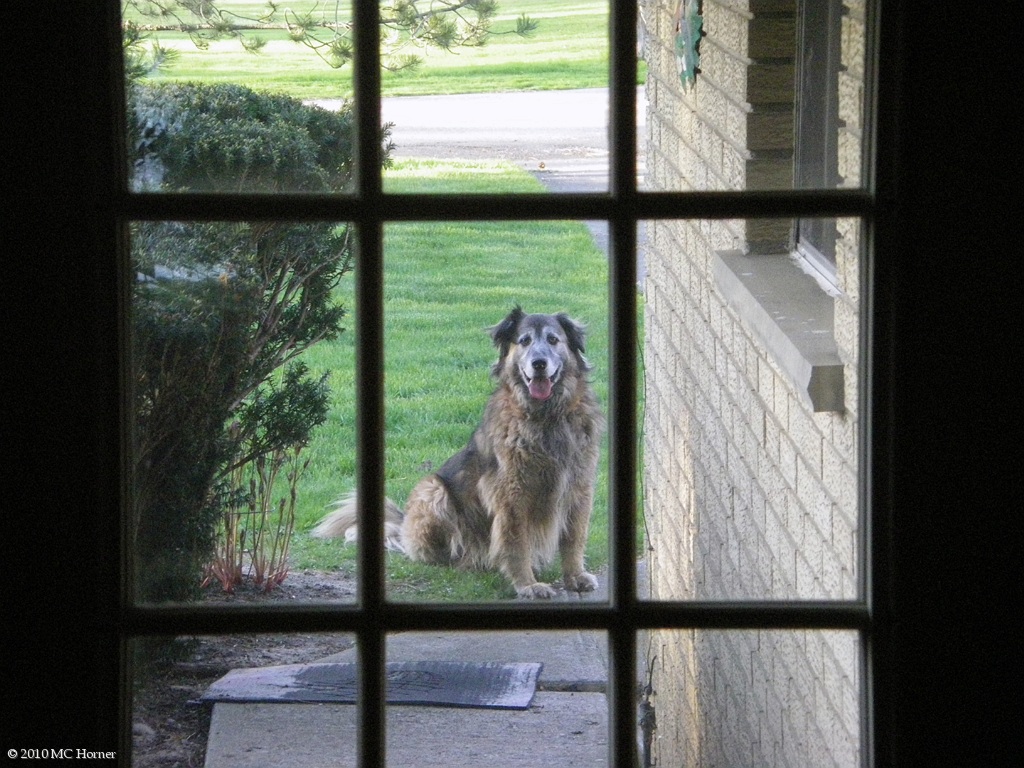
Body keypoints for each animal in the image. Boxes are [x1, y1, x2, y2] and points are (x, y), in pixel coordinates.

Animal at [309, 307, 598, 602]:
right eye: (525, 341)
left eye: (553, 340)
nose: (539, 363)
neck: (546, 417)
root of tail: (403, 527)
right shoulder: (511, 494)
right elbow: (517, 543)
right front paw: (527, 584)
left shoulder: (579, 487)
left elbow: (574, 537)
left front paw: (575, 576)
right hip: (433, 490)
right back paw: (466, 561)